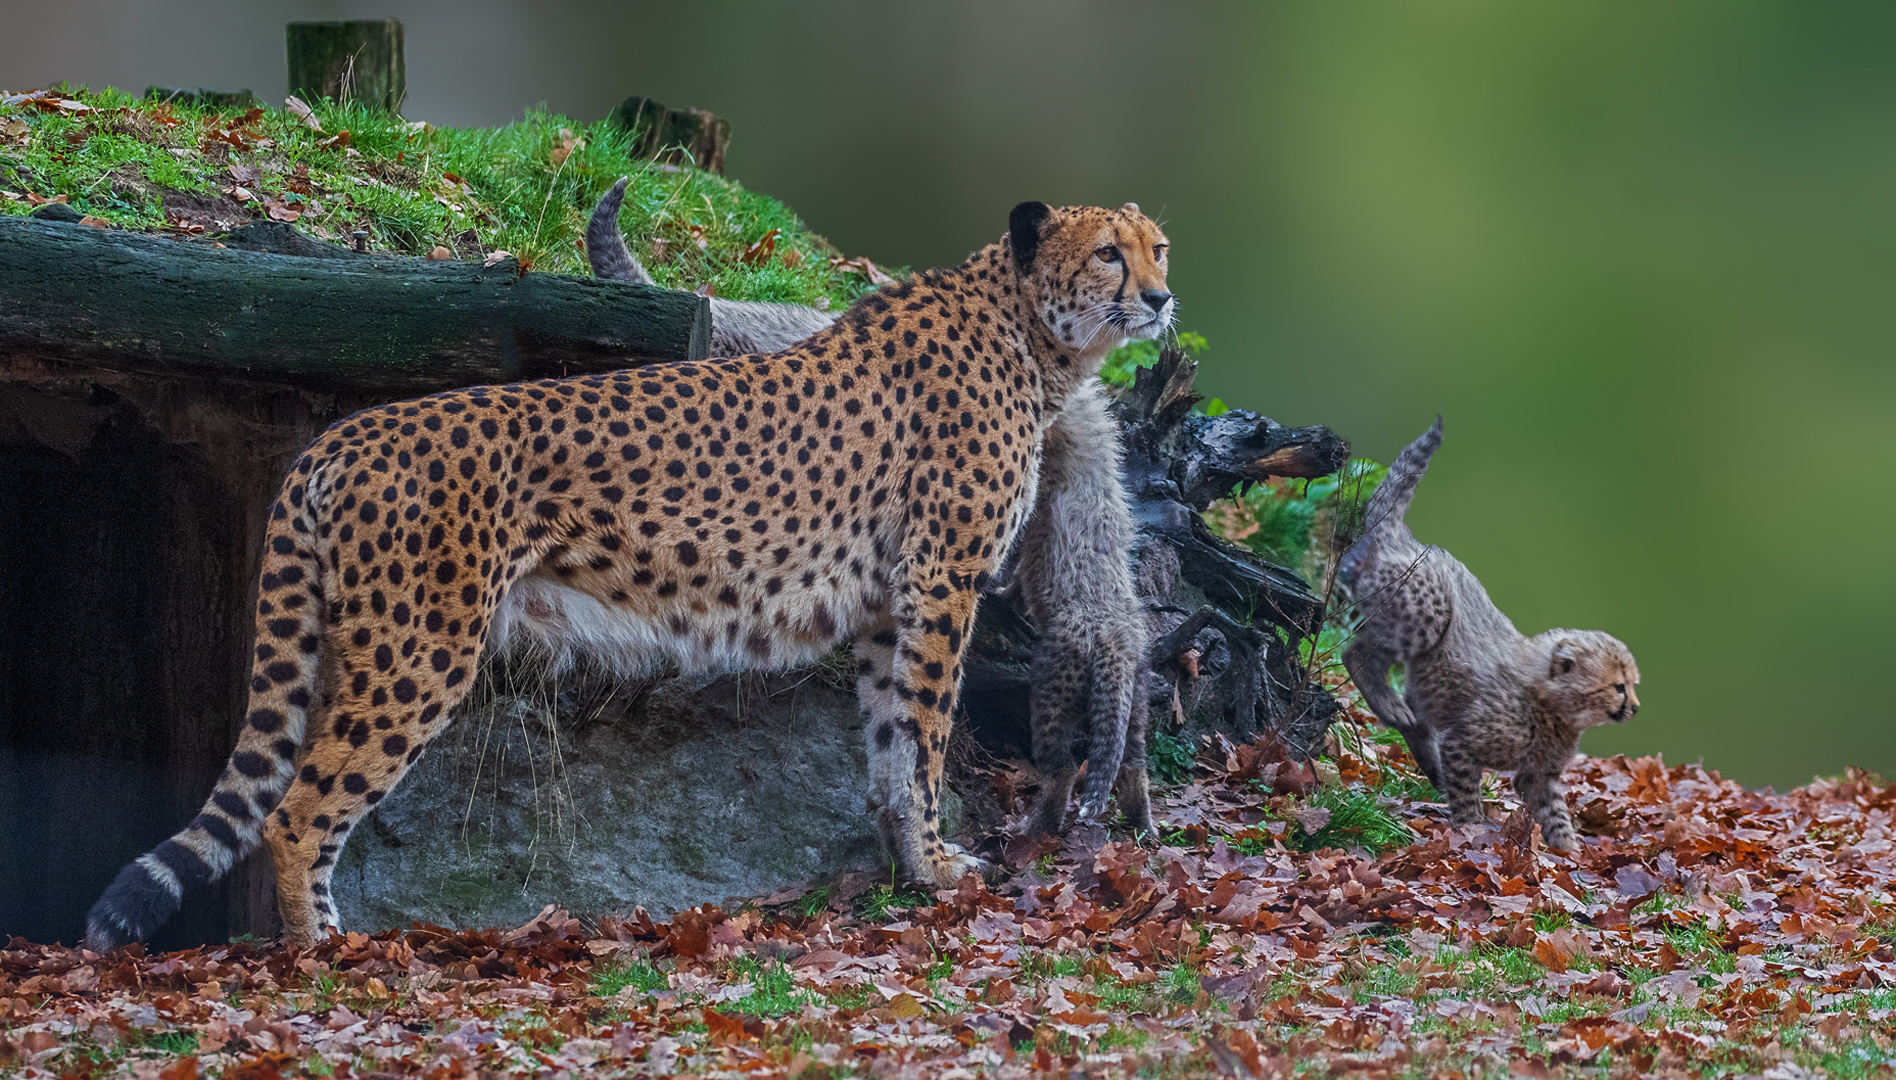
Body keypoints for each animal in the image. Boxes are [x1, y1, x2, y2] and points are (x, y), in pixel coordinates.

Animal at [89, 199, 1167, 939]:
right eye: (1109, 251)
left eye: (1158, 245)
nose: (1162, 298)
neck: (1032, 335)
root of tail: (342, 432)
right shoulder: (940, 582)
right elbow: (929, 733)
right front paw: (939, 867)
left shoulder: (885, 605)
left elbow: (891, 742)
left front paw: (908, 866)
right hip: (419, 650)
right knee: (300, 811)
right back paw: (324, 955)